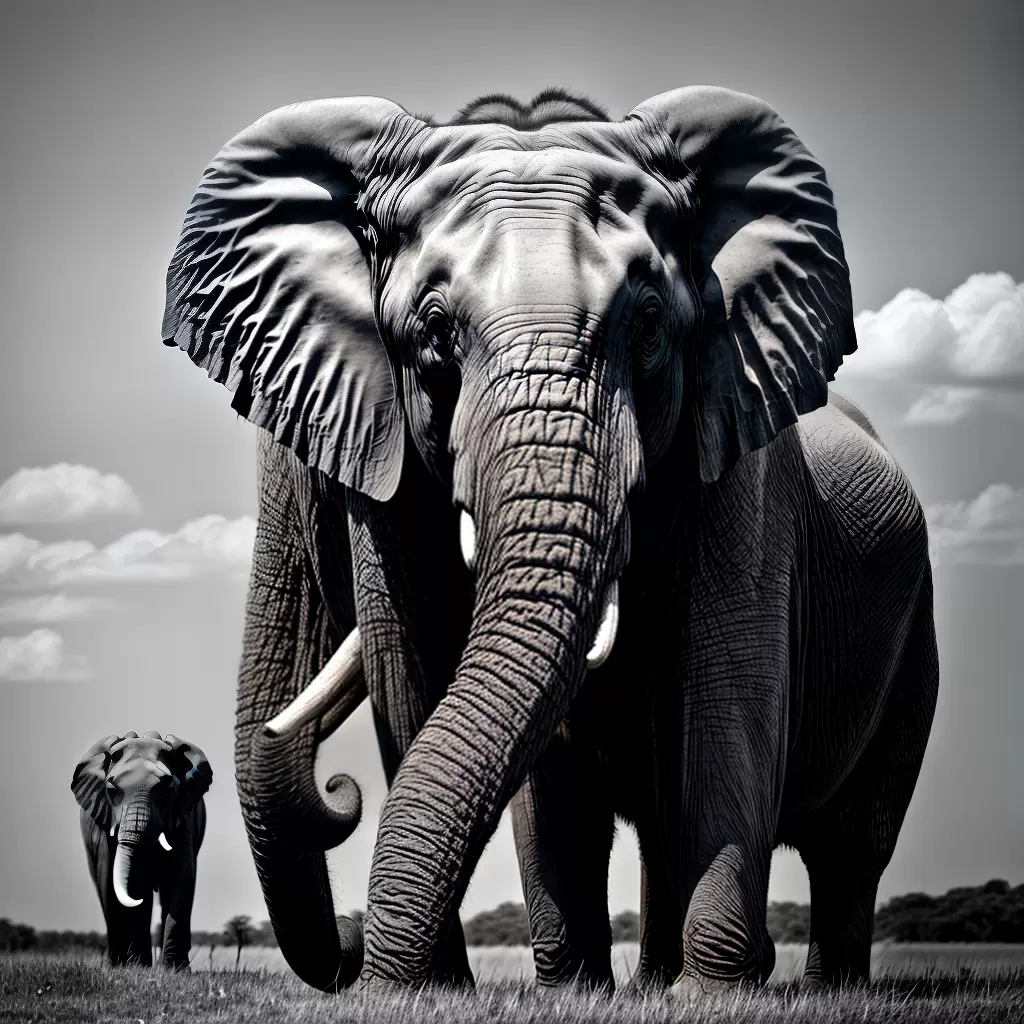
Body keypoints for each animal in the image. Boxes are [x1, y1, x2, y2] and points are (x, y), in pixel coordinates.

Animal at [71, 731, 213, 968]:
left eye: (167, 789)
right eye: (111, 790)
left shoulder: (183, 815)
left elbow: (181, 875)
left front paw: (174, 970)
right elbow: (116, 881)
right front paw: (128, 968)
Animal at [160, 85, 938, 994]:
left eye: (648, 327)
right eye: (433, 332)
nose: (340, 791)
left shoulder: (741, 457)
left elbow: (728, 689)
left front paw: (715, 995)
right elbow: (431, 689)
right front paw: (474, 993)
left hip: (915, 636)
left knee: (852, 847)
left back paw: (814, 988)